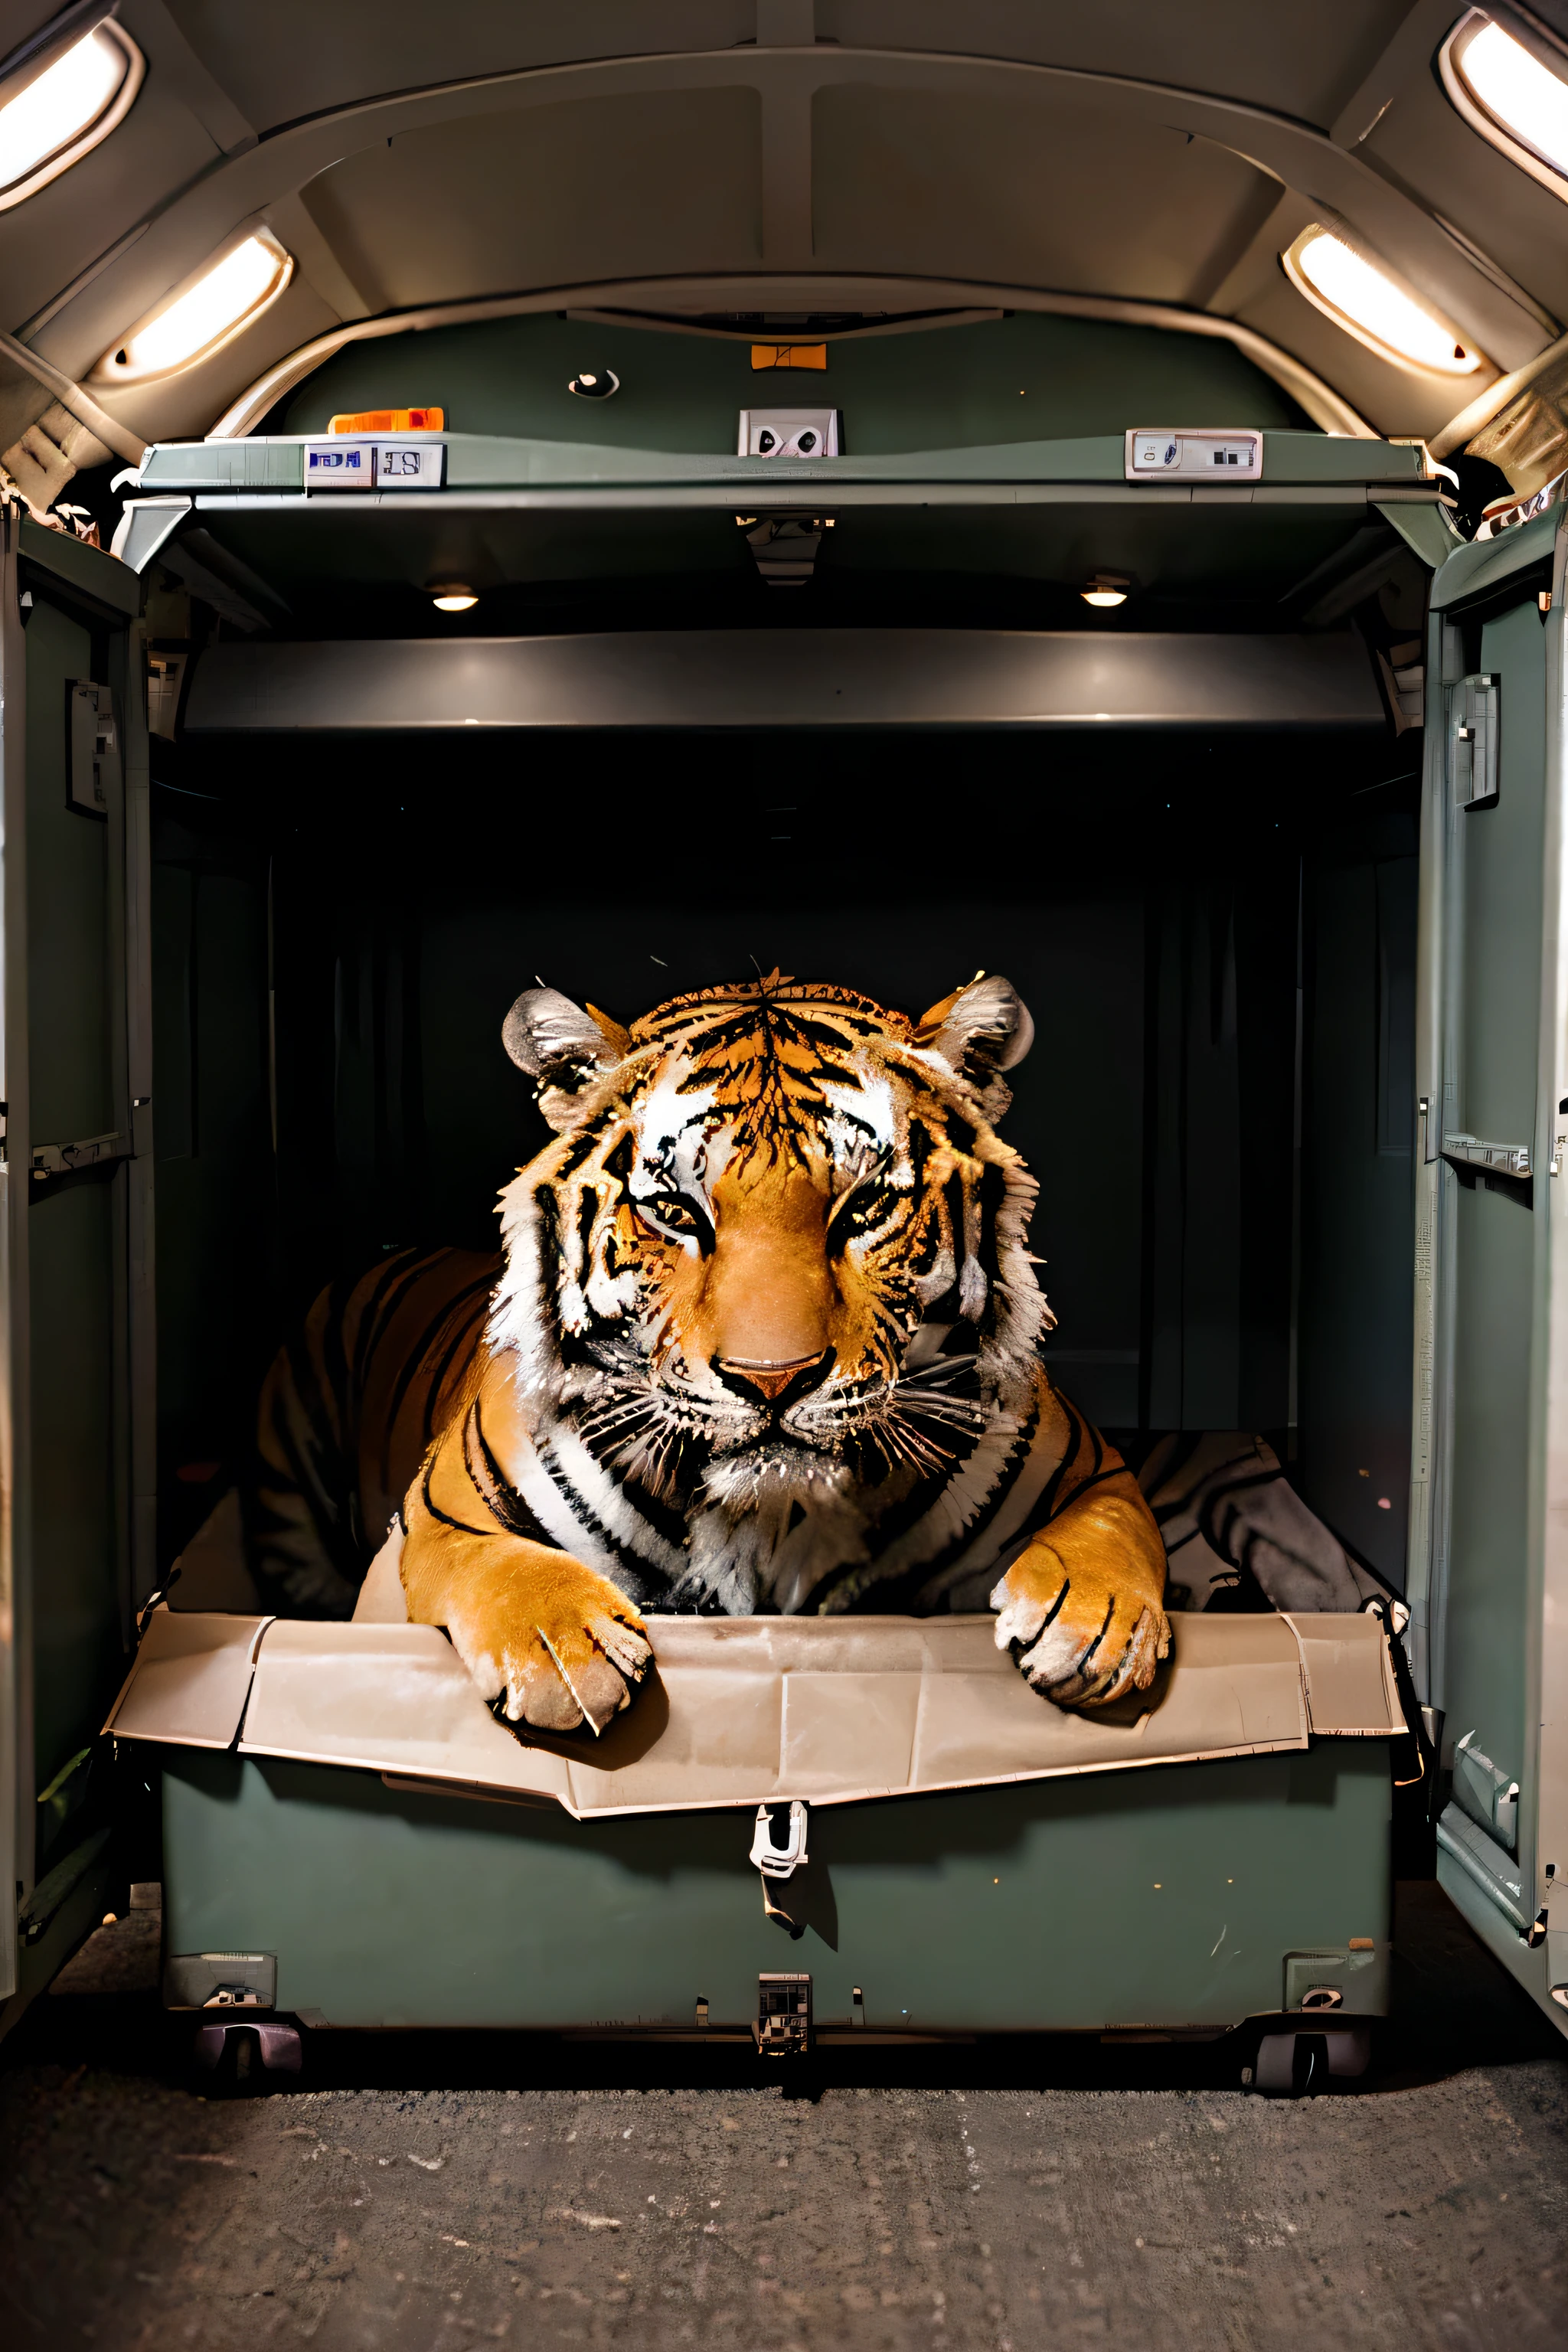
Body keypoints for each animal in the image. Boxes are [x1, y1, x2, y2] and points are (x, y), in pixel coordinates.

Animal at [251, 964, 1184, 1740]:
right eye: (674, 1212)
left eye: (865, 1208)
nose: (772, 1381)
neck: (772, 1519)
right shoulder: (431, 1520)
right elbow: (486, 1557)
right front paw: (561, 1653)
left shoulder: (1090, 1465)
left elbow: (1107, 1525)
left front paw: (1093, 1630)